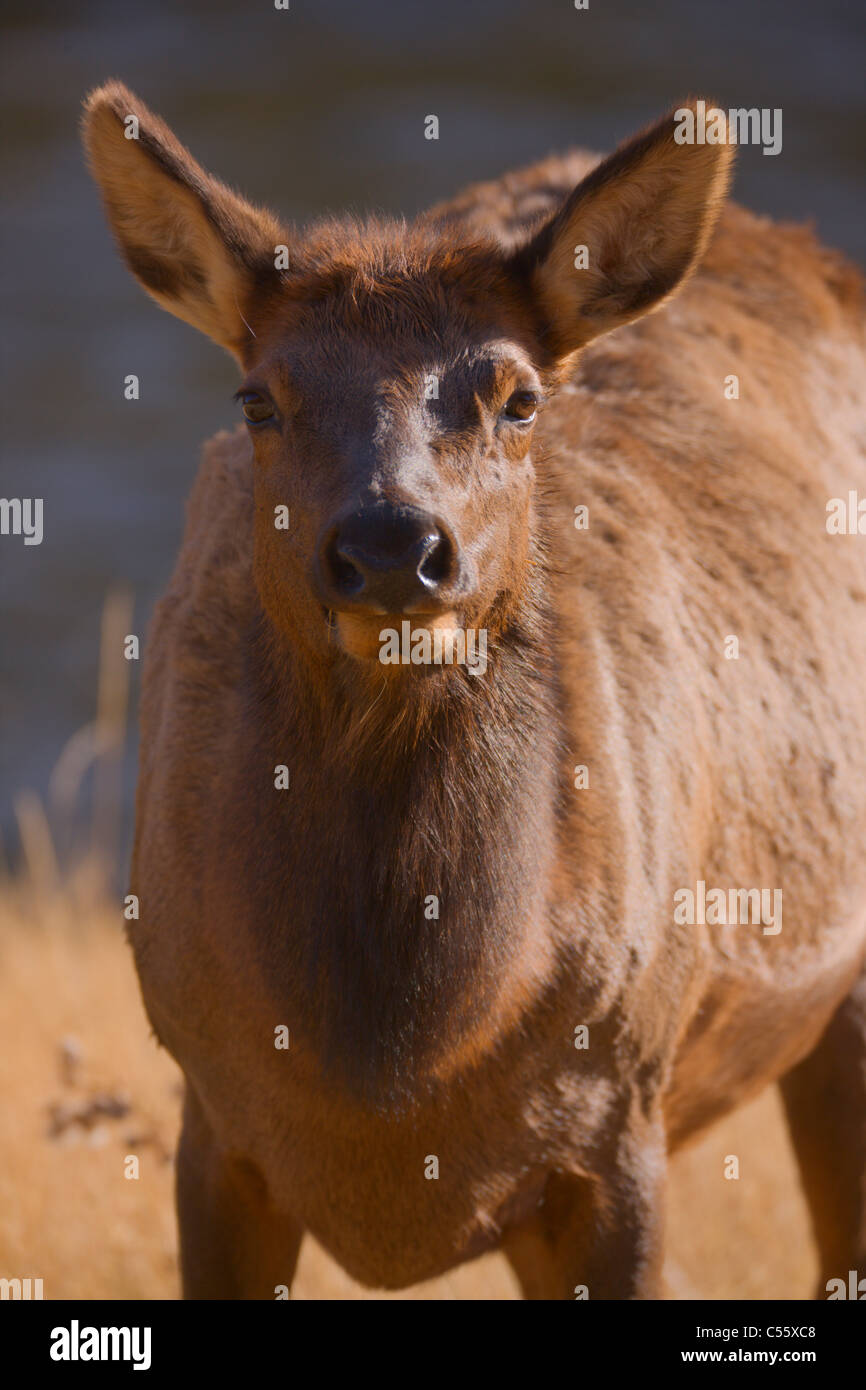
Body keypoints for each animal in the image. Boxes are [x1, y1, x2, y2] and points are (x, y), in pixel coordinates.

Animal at [84, 84, 866, 1301]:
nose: (390, 546)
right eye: (258, 398)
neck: (392, 1083)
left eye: (519, 397)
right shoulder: (212, 1120)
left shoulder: (613, 1119)